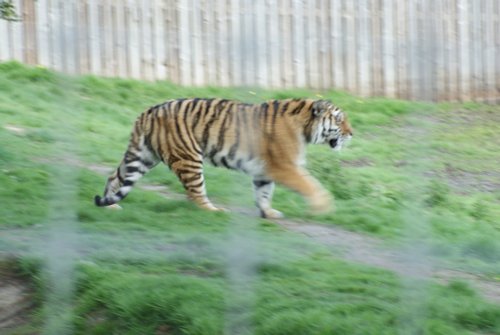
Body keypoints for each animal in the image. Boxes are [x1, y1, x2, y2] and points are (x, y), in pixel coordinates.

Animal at [94, 98, 352, 218]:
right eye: (339, 120)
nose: (352, 133)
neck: (305, 127)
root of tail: (148, 112)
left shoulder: (264, 170)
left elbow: (264, 193)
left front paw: (268, 213)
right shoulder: (285, 166)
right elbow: (312, 186)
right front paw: (323, 208)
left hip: (143, 156)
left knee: (114, 177)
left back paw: (111, 205)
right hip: (189, 157)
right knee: (196, 193)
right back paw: (214, 211)